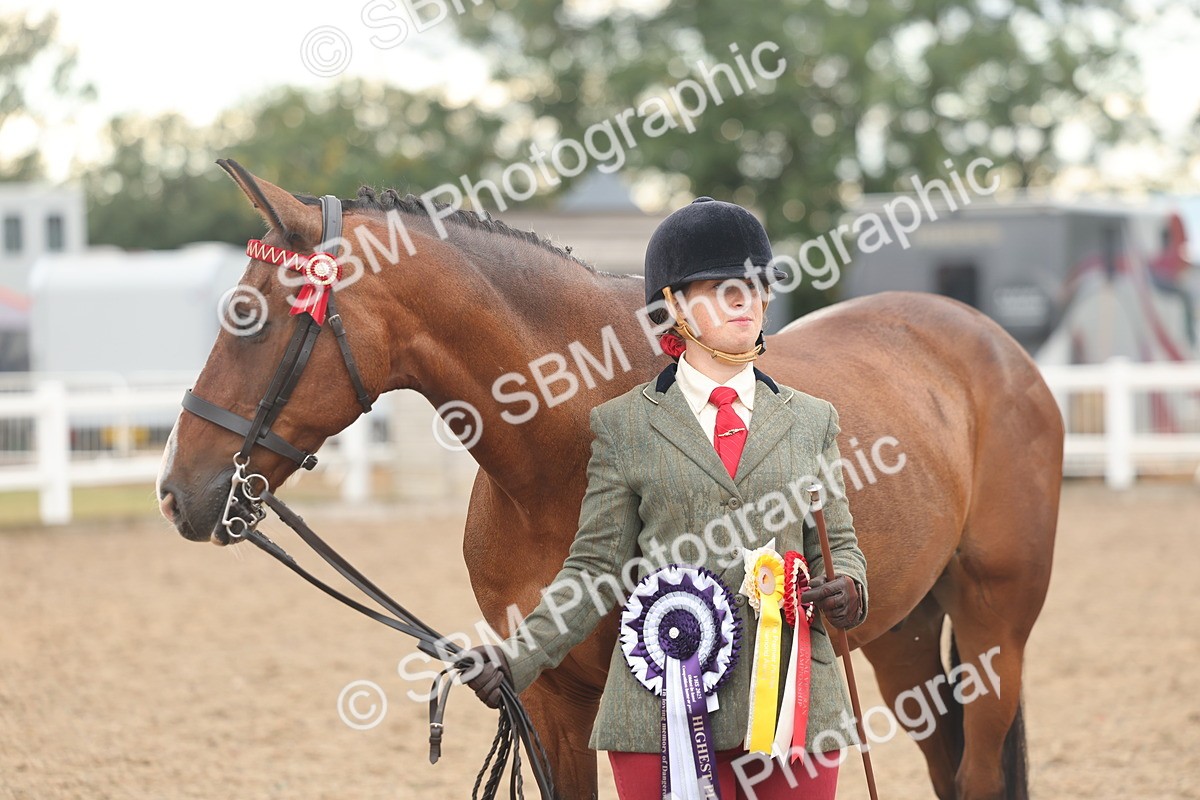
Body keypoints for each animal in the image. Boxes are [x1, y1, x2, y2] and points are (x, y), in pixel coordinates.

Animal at [157, 161, 1063, 800]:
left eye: (250, 318)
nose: (177, 491)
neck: (561, 450)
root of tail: (993, 344)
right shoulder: (553, 697)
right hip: (900, 633)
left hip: (994, 625)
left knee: (978, 769)